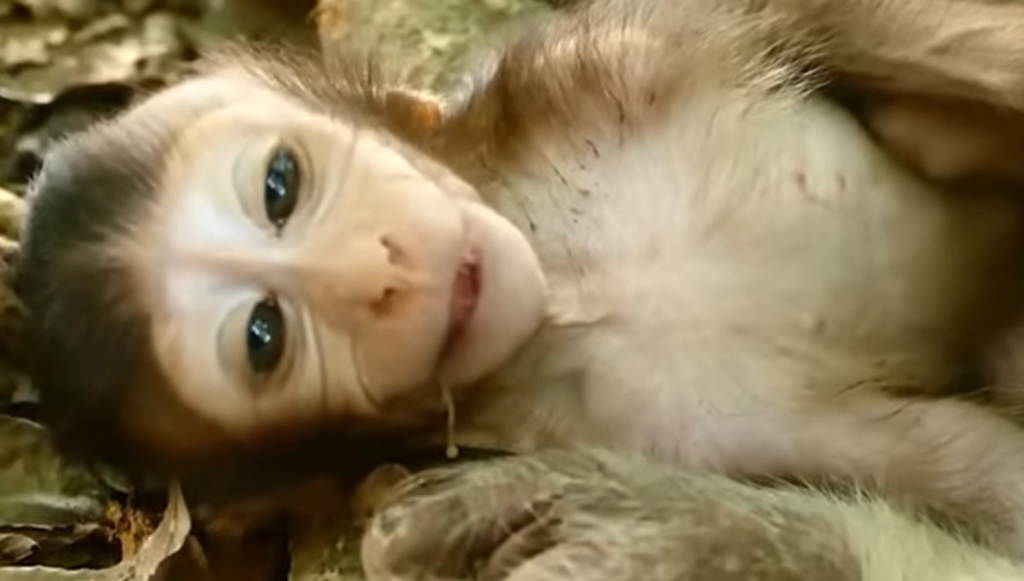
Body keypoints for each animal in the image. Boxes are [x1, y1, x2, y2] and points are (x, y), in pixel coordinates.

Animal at [16, 0, 1024, 575]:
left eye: (280, 184)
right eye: (265, 337)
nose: (376, 266)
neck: (574, 286)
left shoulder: (602, 57)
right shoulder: (681, 429)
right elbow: (988, 486)